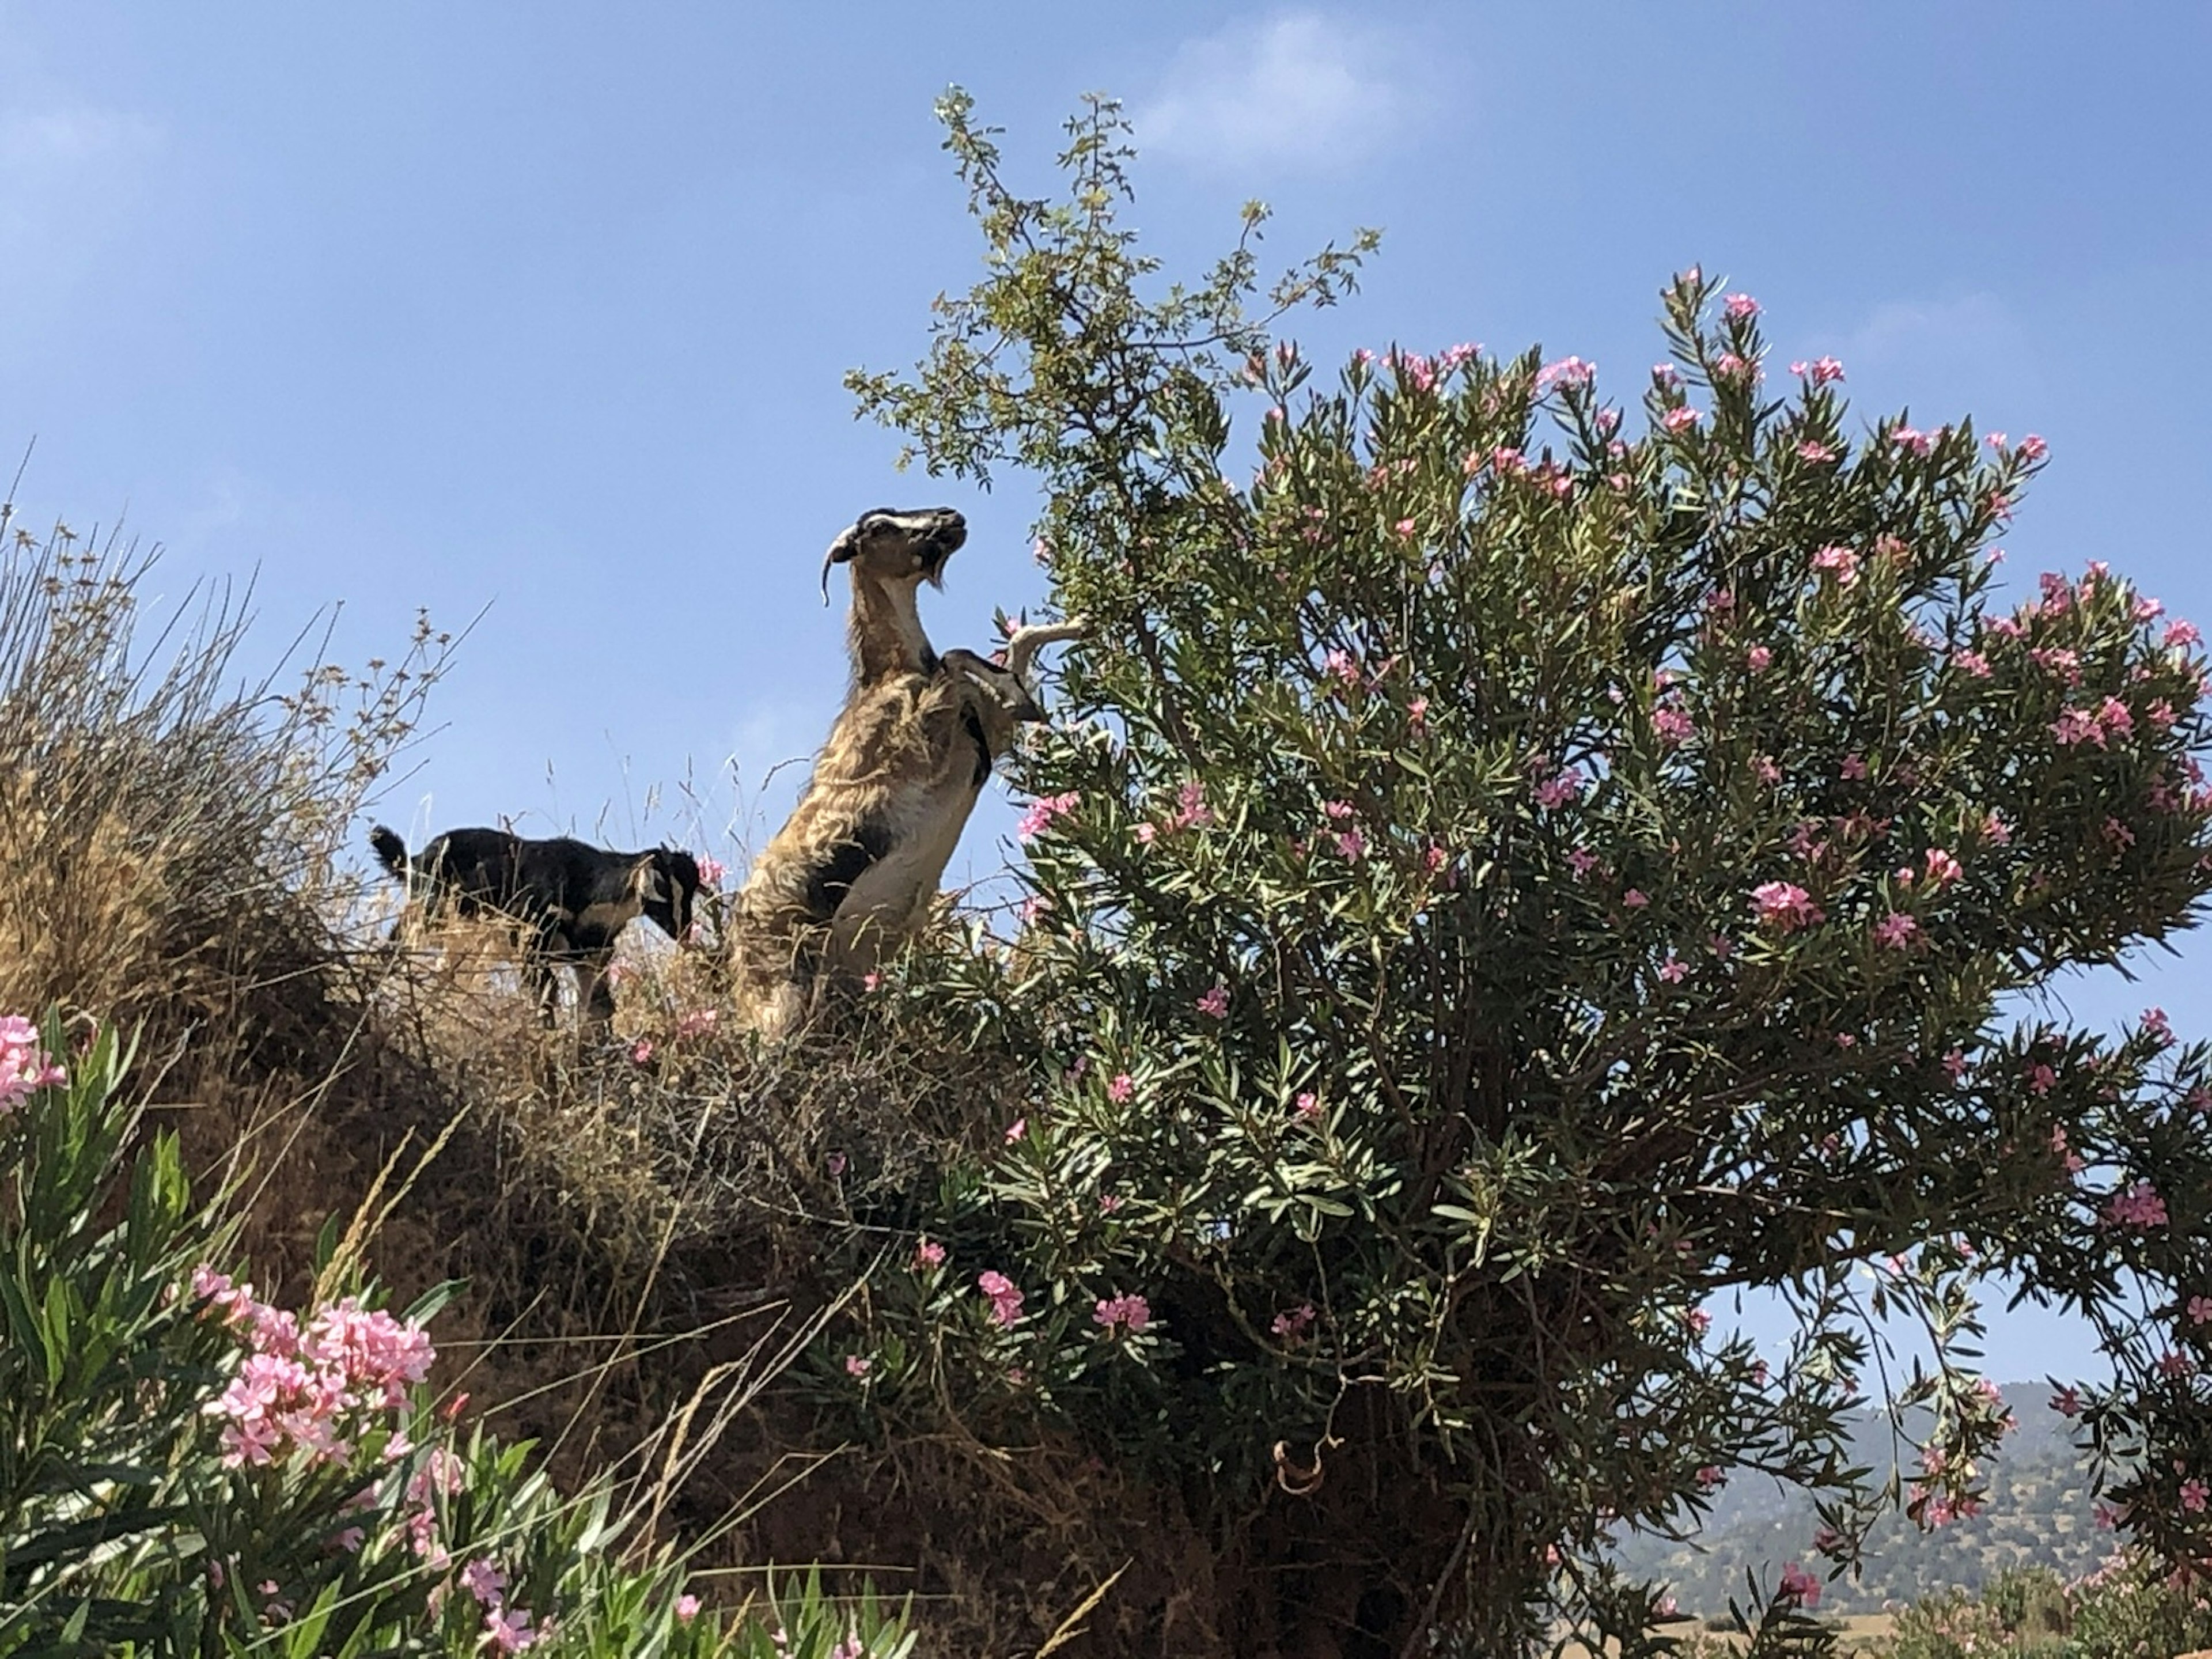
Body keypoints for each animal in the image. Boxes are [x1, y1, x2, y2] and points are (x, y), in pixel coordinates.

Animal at [369, 823, 699, 1026]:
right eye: (664, 888)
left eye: (693, 891)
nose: (683, 931)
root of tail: (414, 860)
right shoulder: (531, 942)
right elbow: (547, 994)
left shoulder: (592, 955)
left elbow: (600, 1006)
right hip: (427, 917)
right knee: (393, 953)